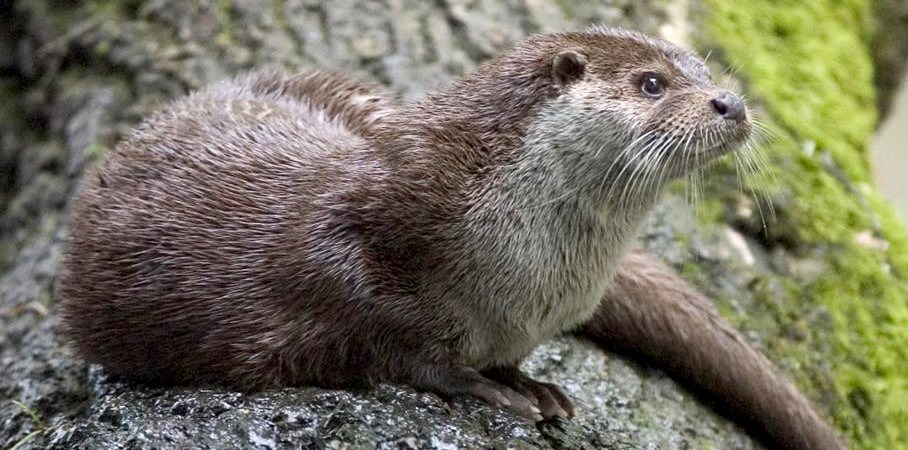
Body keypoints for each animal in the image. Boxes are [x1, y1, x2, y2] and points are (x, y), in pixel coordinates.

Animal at [56, 27, 846, 450]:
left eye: (705, 71)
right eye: (651, 83)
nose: (731, 102)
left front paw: (529, 381)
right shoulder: (360, 247)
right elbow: (389, 340)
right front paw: (486, 387)